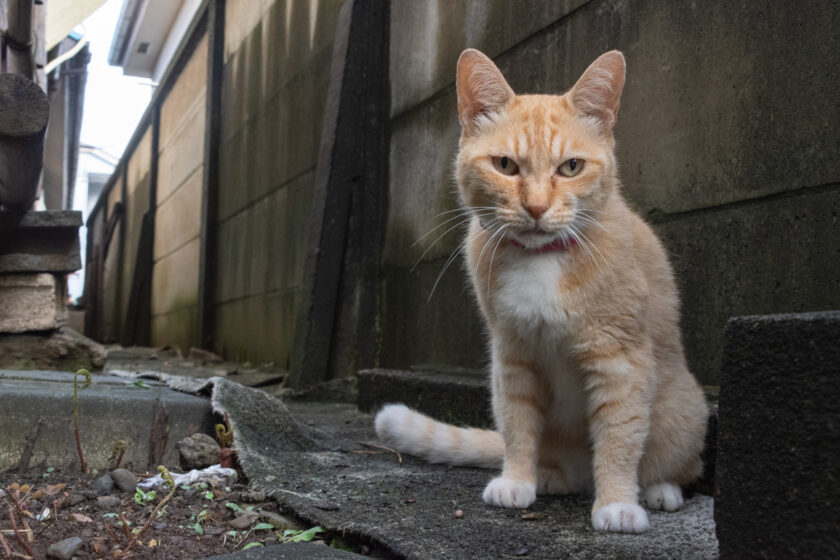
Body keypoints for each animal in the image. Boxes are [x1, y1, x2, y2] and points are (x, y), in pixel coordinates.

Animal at [376, 49, 708, 532]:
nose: (535, 207)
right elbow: (518, 426)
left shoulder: (620, 362)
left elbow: (620, 435)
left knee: (676, 464)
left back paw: (658, 490)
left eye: (570, 167)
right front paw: (518, 480)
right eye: (505, 165)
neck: (542, 259)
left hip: (682, 413)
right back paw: (549, 476)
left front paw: (617, 504)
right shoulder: (513, 357)